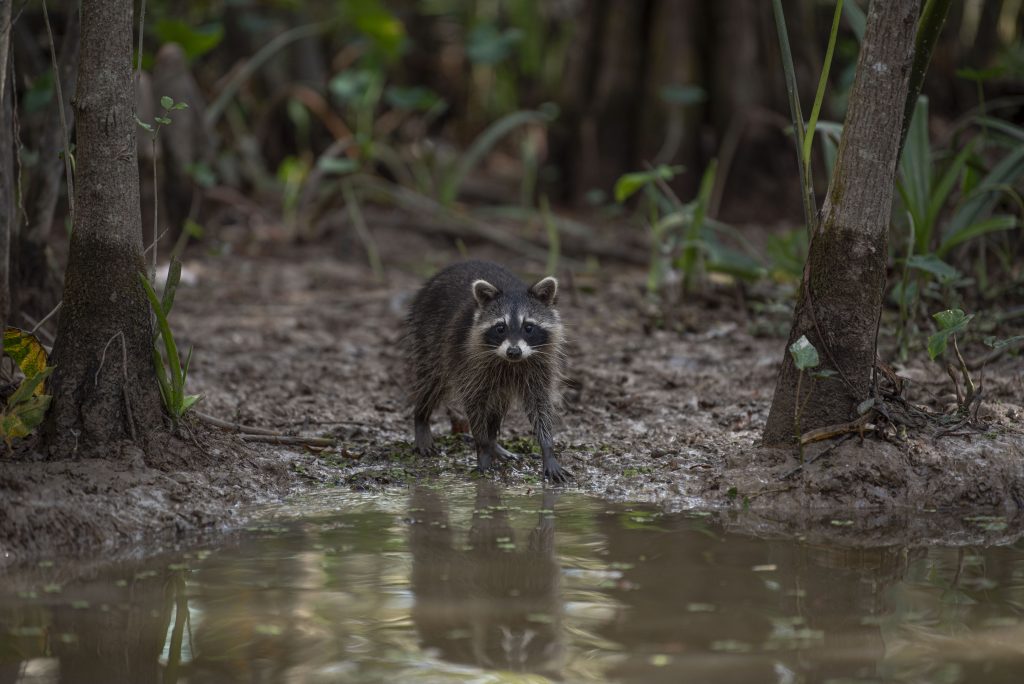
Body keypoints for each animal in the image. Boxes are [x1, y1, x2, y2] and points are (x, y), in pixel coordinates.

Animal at [405, 260, 569, 481]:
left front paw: (547, 448)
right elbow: (474, 404)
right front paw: (483, 450)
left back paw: (494, 443)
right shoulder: (470, 366)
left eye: (528, 327)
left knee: (498, 405)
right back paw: (421, 417)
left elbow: (540, 406)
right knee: (431, 383)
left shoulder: (539, 368)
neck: (511, 362)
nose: (514, 351)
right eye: (500, 328)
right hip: (428, 338)